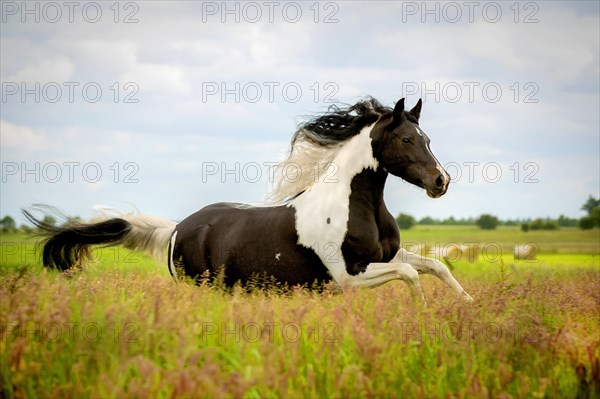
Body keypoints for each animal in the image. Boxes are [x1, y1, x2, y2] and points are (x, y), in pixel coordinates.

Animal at [24, 97, 474, 302]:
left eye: (427, 138)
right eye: (406, 139)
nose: (441, 181)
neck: (356, 207)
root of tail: (177, 229)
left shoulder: (388, 256)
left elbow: (434, 266)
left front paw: (467, 303)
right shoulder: (347, 276)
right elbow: (412, 275)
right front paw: (421, 309)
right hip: (201, 288)